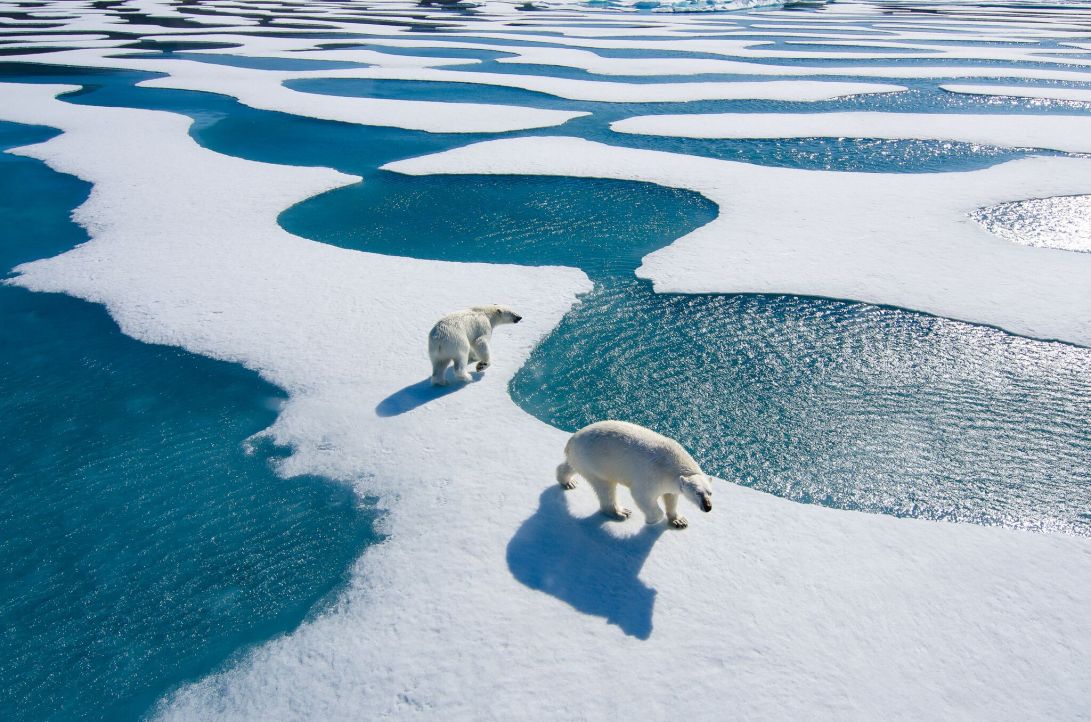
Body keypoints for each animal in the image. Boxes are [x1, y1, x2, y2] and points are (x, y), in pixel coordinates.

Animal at [556, 420, 714, 529]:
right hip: (596, 463)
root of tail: (571, 440)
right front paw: (651, 520)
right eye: (697, 492)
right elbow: (642, 496)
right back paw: (620, 512)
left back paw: (568, 481)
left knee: (571, 466)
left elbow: (671, 497)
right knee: (605, 488)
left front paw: (679, 521)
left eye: (710, 493)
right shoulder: (652, 477)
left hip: (582, 459)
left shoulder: (671, 483)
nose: (708, 507)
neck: (673, 464)